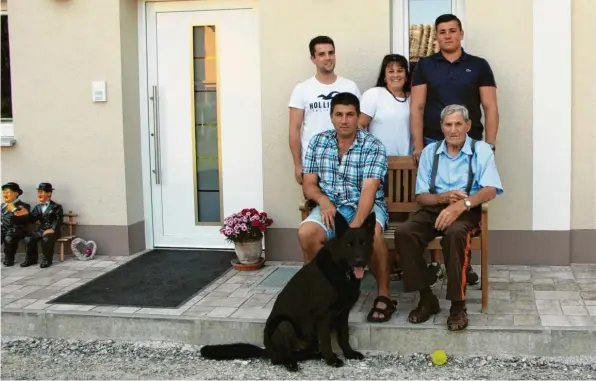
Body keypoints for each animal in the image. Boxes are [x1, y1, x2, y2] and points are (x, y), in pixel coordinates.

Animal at [201, 209, 378, 370]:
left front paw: (349, 353)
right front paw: (331, 359)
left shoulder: (343, 313)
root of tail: (267, 351)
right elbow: (327, 340)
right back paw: (291, 363)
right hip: (284, 325)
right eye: (349, 244)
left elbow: (344, 336)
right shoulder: (323, 315)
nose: (360, 261)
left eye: (364, 243)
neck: (342, 270)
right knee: (283, 356)